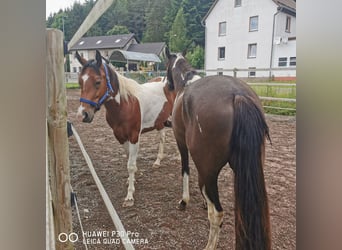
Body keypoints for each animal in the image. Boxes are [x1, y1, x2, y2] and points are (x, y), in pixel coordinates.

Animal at [76, 50, 175, 207]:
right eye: (80, 82)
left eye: (98, 81)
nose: (83, 114)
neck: (125, 104)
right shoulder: (120, 137)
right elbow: (129, 160)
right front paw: (131, 180)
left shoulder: (134, 136)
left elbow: (130, 165)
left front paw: (130, 196)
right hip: (159, 121)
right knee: (162, 138)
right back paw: (157, 161)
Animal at [164, 49, 272, 250]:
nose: (167, 85)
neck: (186, 83)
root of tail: (238, 95)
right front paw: (203, 203)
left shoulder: (181, 142)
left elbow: (185, 170)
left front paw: (184, 201)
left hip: (209, 171)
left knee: (217, 214)